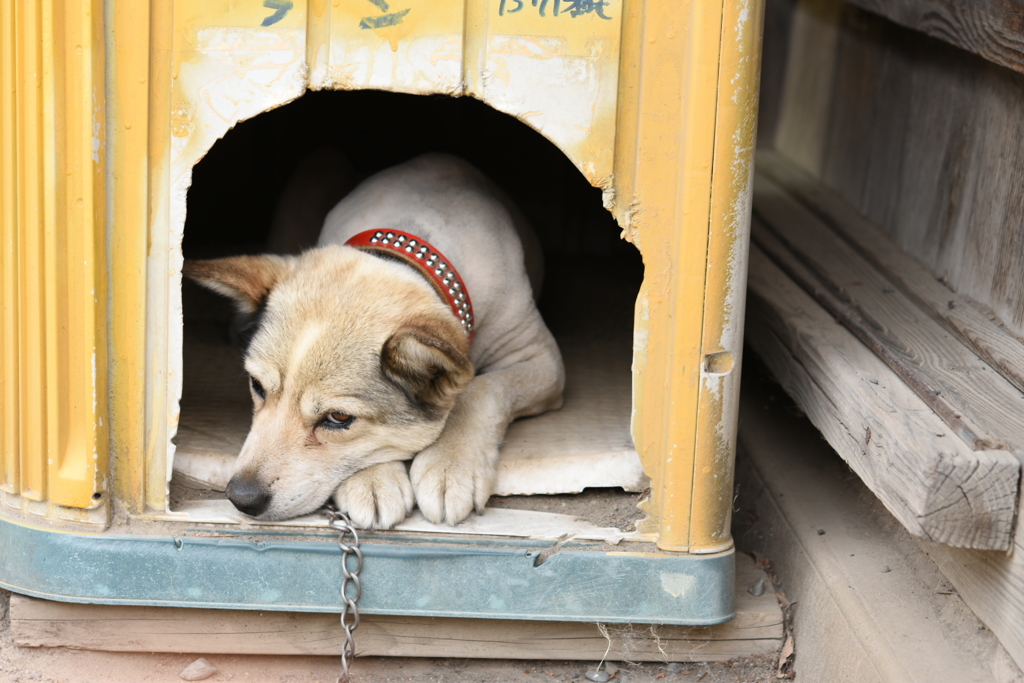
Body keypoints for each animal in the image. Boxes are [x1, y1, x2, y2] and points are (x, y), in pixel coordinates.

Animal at [186, 153, 569, 528]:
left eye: (338, 418)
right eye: (257, 386)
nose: (241, 498)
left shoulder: (542, 360)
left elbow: (481, 389)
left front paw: (451, 464)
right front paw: (371, 480)